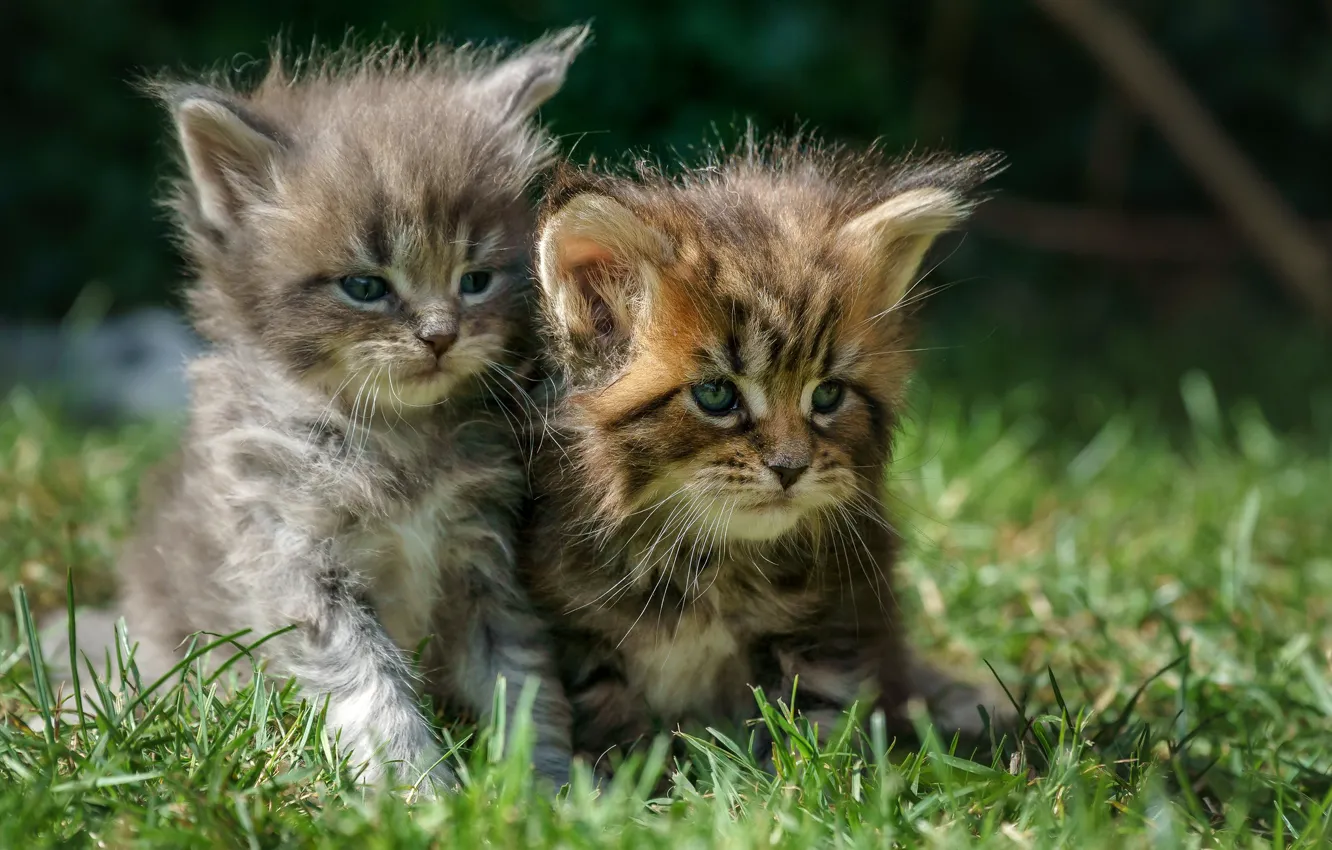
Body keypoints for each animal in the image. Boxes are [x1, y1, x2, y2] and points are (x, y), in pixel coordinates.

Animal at [98, 28, 588, 799]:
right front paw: (415, 793)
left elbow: (522, 677)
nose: (440, 334)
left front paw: (546, 790)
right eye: (364, 287)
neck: (399, 438)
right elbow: (371, 686)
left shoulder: (487, 559)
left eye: (476, 279)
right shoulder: (296, 559)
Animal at [519, 138, 1006, 767]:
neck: (704, 563)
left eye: (827, 395)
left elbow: (814, 732)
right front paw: (631, 777)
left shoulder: (834, 622)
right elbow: (611, 729)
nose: (790, 468)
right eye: (716, 395)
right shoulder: (574, 628)